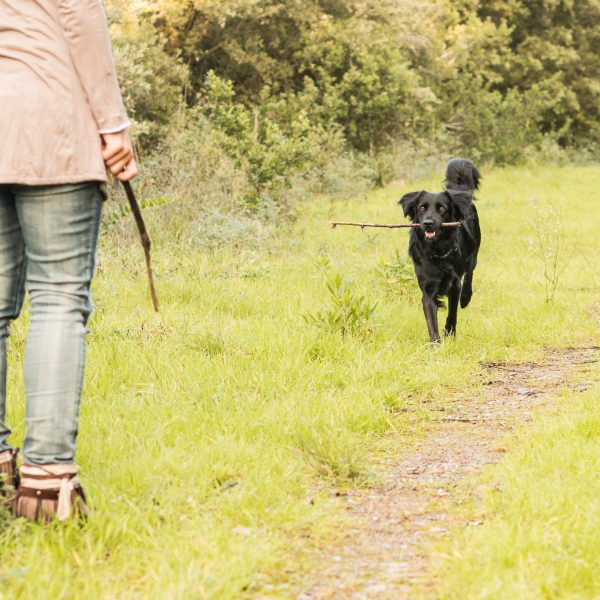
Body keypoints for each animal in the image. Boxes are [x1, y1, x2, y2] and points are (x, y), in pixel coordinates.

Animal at [400, 159, 480, 342]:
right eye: (422, 208)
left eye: (442, 208)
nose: (428, 223)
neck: (436, 251)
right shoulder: (428, 290)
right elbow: (431, 321)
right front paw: (436, 343)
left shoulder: (454, 284)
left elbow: (452, 313)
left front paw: (450, 333)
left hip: (474, 252)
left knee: (469, 274)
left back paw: (466, 297)